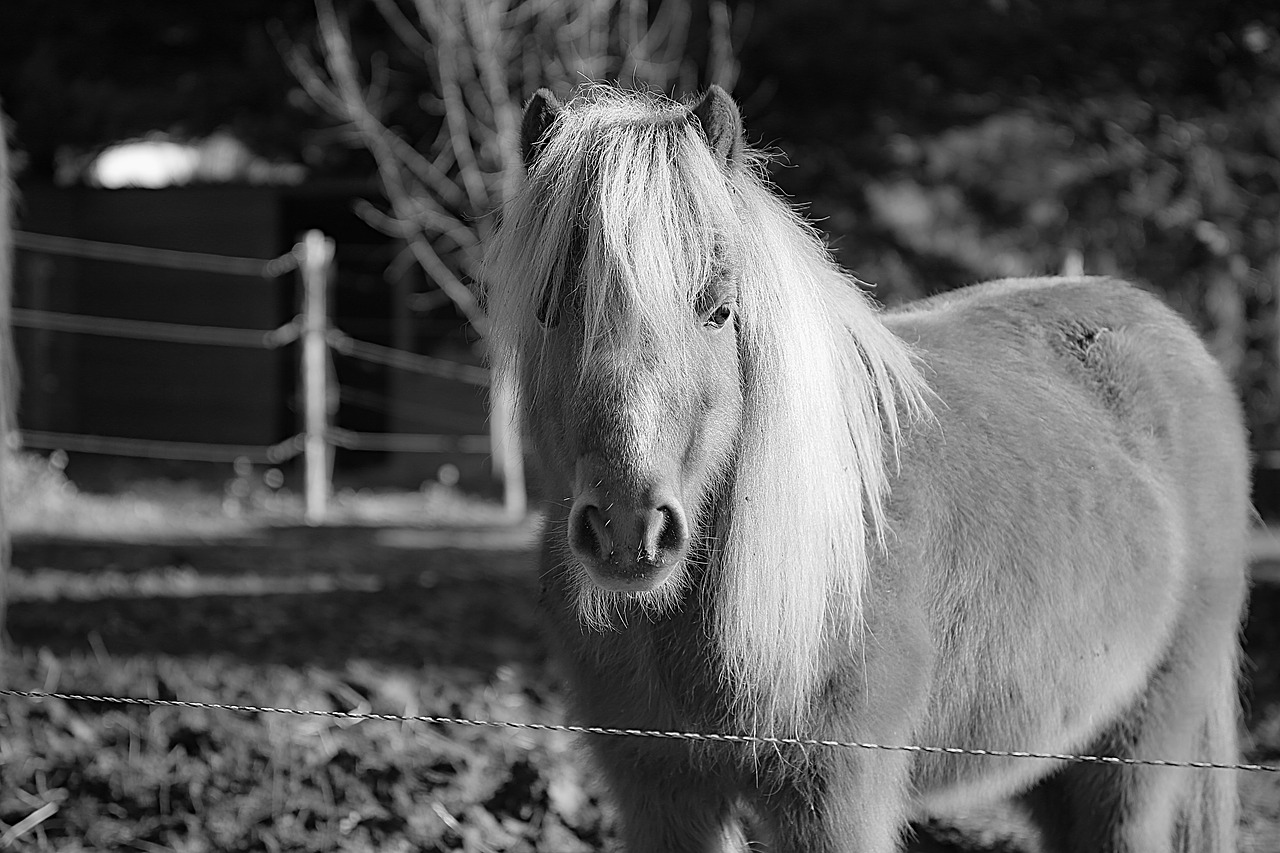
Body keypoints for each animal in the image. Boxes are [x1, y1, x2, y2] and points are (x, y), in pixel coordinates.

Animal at [481, 86, 1249, 850]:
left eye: (719, 309)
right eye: (550, 309)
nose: (627, 528)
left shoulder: (835, 801)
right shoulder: (659, 794)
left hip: (1129, 770)